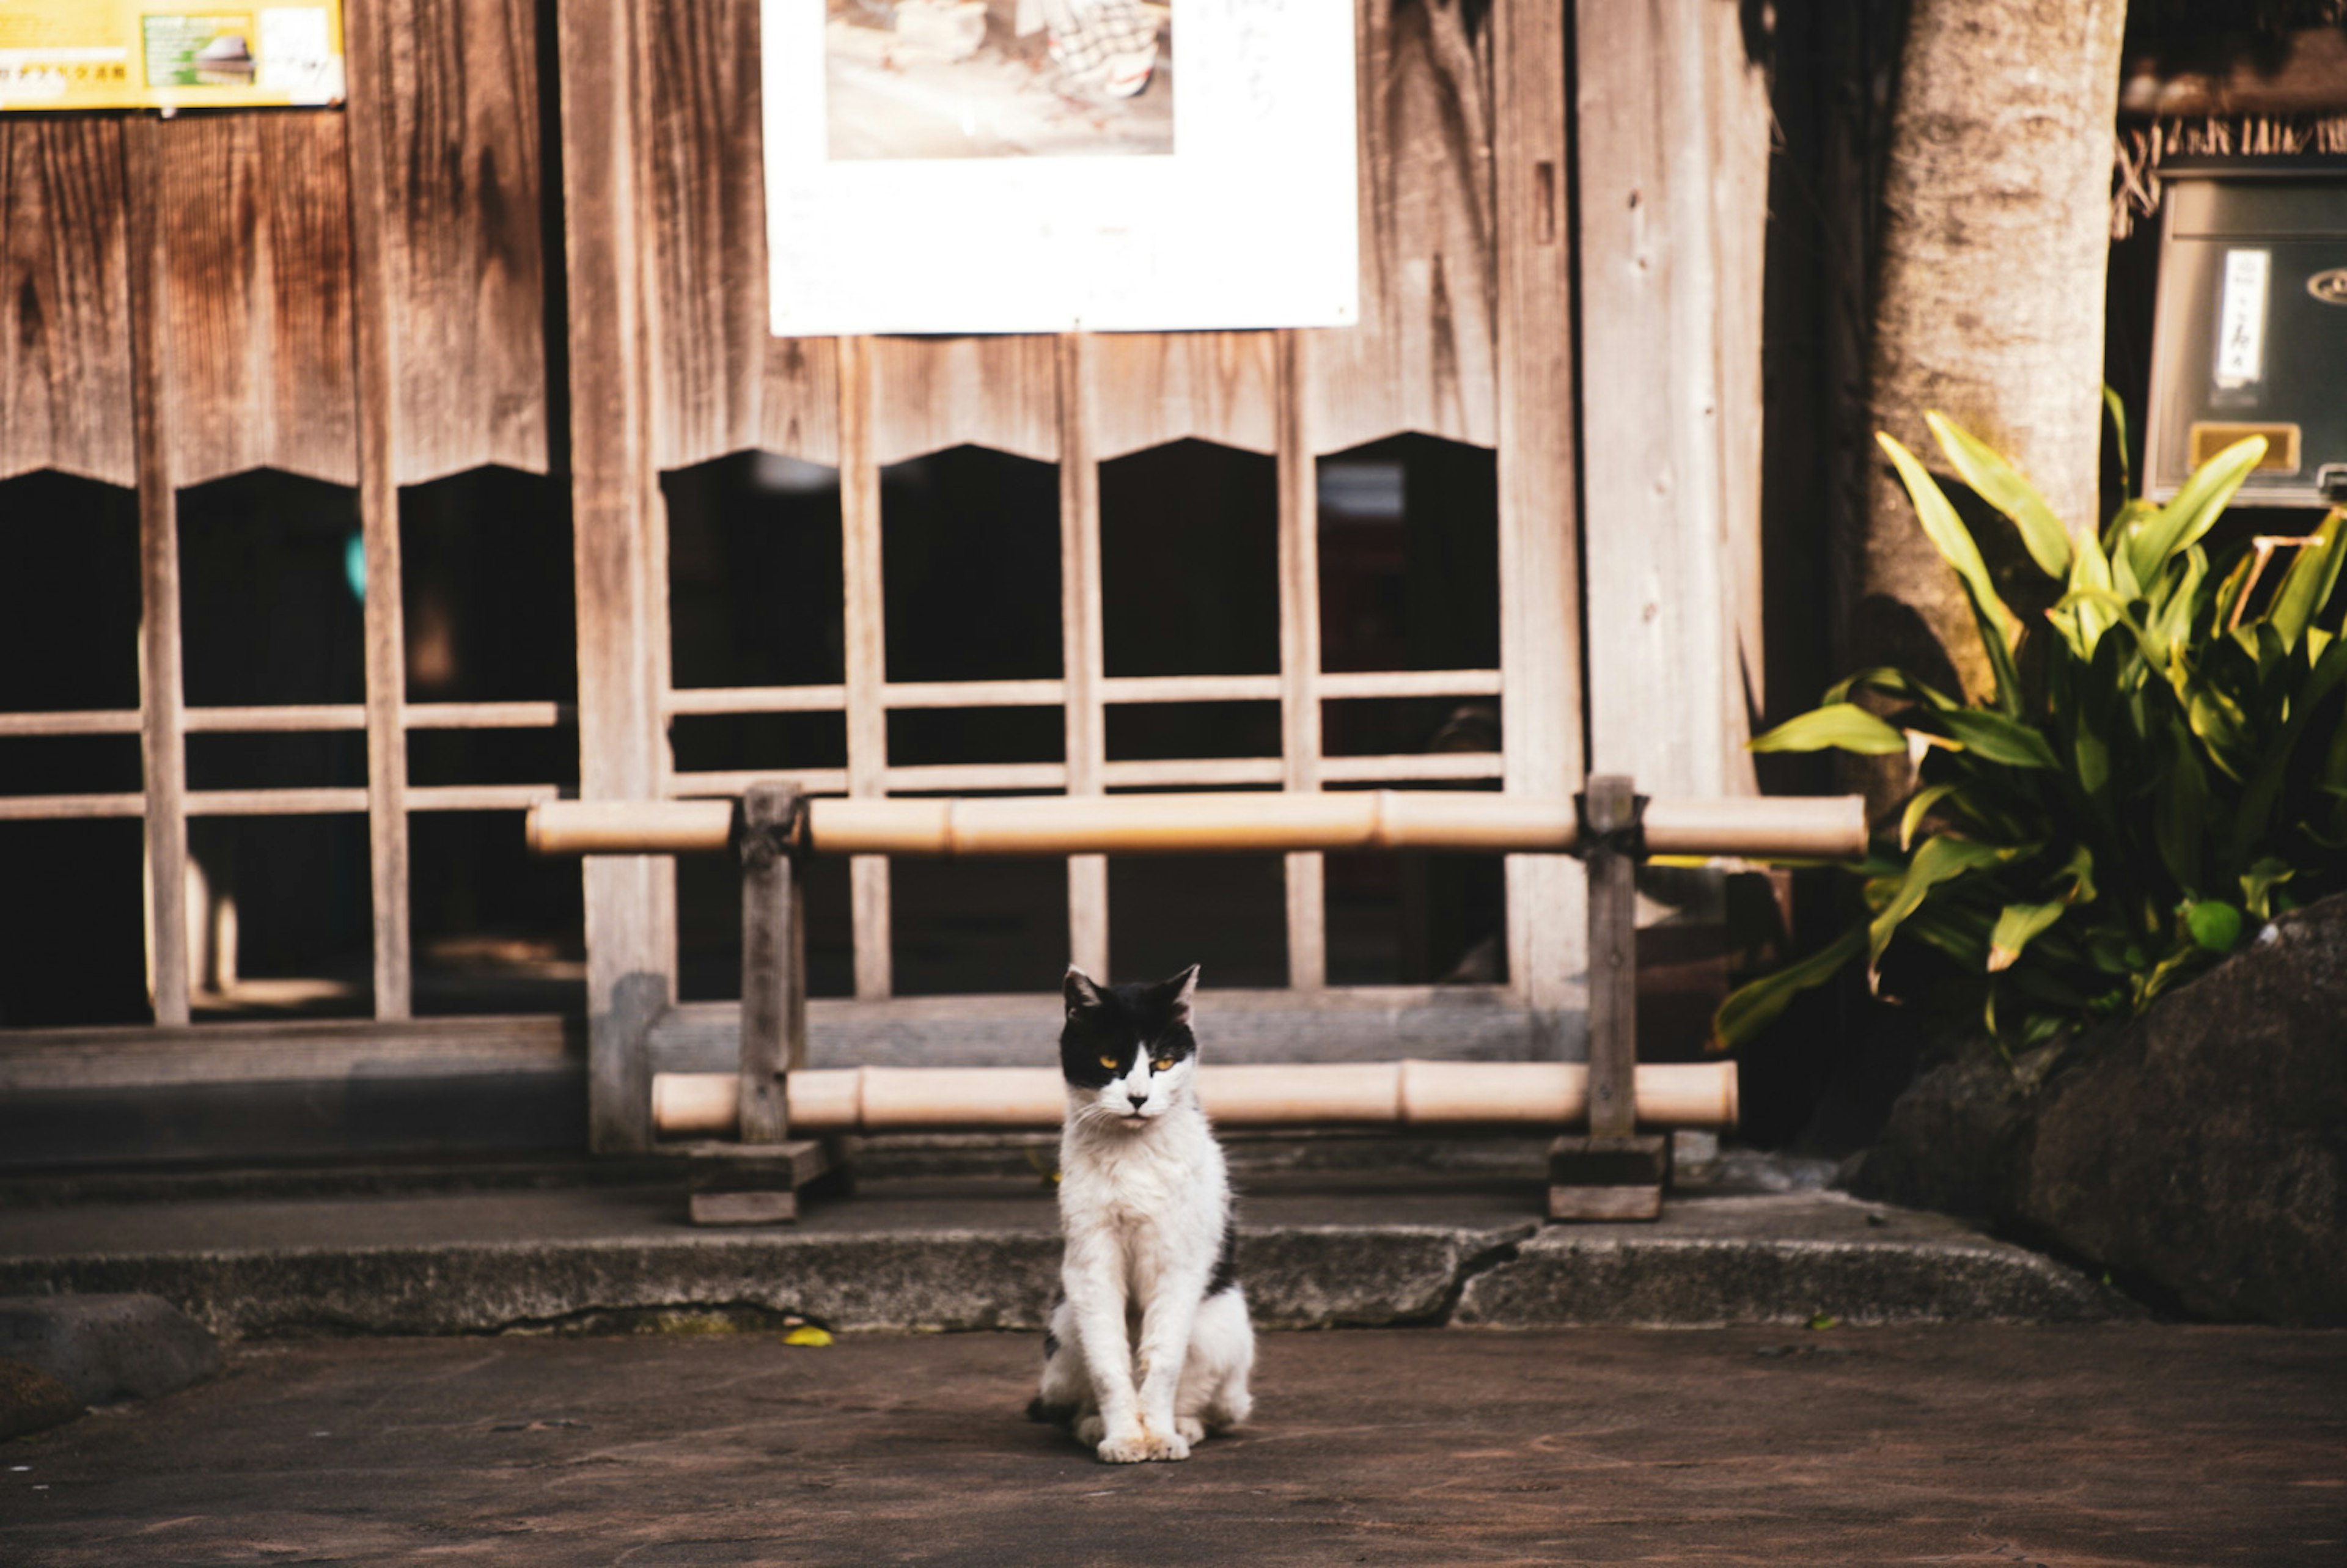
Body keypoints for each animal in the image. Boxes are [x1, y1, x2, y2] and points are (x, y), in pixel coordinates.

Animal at [1027, 962, 1248, 1464]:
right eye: (1110, 1062)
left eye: (1163, 1063)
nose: (1138, 1097)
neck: (1133, 1155)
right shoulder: (1092, 1264)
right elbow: (1109, 1367)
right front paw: (1125, 1439)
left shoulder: (1177, 1262)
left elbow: (1163, 1360)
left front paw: (1161, 1436)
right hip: (1065, 1325)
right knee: (1070, 1404)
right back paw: (1093, 1426)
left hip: (1220, 1328)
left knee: (1216, 1406)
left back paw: (1184, 1426)